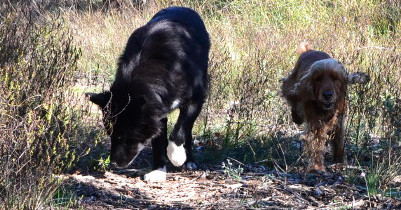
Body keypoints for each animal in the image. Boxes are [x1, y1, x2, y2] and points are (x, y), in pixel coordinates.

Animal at [86, 7, 211, 181]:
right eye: (110, 133)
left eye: (125, 137)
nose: (114, 164)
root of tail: (182, 7)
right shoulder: (158, 113)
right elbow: (158, 142)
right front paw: (158, 171)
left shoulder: (195, 101)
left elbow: (179, 131)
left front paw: (176, 156)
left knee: (187, 130)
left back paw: (189, 161)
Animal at [280, 42, 368, 172]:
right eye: (318, 79)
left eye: (335, 78)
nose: (327, 95)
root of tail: (309, 50)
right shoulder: (316, 122)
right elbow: (317, 143)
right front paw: (317, 167)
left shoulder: (339, 119)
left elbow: (338, 140)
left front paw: (339, 161)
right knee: (293, 99)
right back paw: (296, 117)